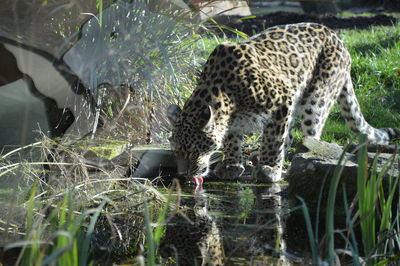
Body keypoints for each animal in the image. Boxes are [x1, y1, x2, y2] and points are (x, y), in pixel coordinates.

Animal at [166, 22, 400, 183]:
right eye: (176, 152)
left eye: (193, 151)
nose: (184, 174)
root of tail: (335, 35)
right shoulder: (234, 120)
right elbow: (233, 139)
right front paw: (232, 164)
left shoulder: (281, 99)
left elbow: (274, 139)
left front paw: (270, 168)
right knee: (291, 134)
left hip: (316, 98)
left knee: (309, 133)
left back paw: (303, 153)